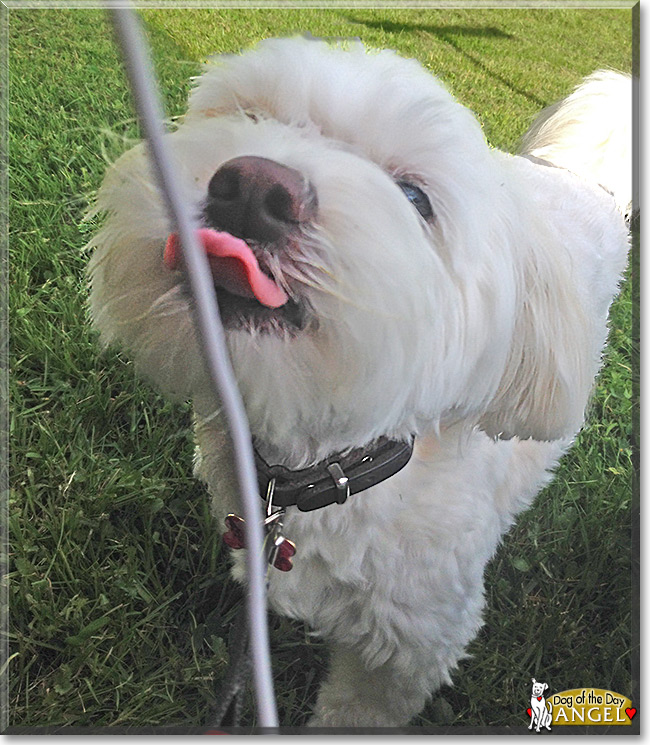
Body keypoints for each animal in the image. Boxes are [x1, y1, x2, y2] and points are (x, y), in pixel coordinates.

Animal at [86, 39, 628, 728]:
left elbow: (357, 707)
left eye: (414, 198)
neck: (321, 471)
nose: (253, 187)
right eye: (247, 115)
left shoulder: (409, 647)